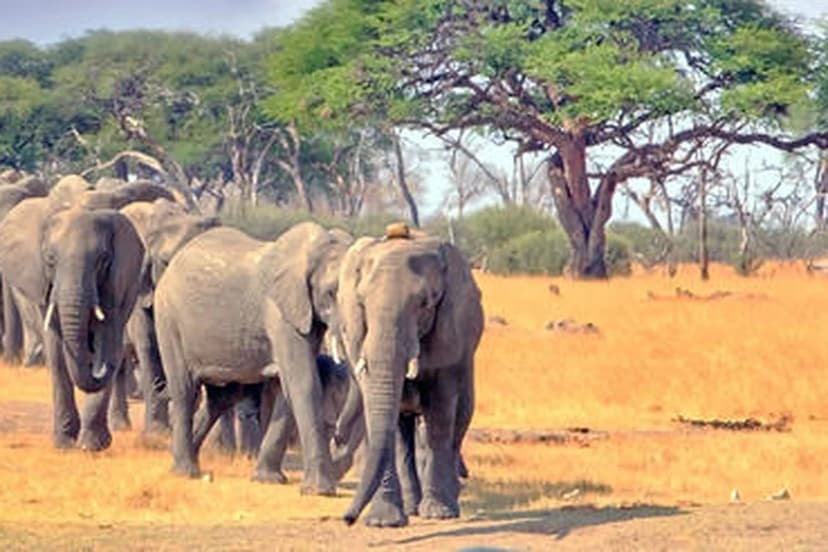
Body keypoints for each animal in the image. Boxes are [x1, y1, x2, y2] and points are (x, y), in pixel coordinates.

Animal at [0, 200, 145, 451]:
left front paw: (92, 446)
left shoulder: (116, 285)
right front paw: (65, 444)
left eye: (103, 260)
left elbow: (108, 336)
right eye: (50, 259)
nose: (99, 367)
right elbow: (57, 354)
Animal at [154, 222, 353, 494]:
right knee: (185, 389)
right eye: (332, 293)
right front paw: (320, 491)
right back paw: (186, 473)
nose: (339, 437)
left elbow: (286, 389)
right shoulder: (280, 311)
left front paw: (268, 480)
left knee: (221, 398)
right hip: (168, 318)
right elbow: (302, 382)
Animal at [337, 230, 483, 527]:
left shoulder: (449, 330)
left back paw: (445, 500)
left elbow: (439, 413)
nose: (347, 519)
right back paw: (411, 506)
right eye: (362, 304)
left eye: (425, 304)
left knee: (458, 419)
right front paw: (383, 522)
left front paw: (439, 513)